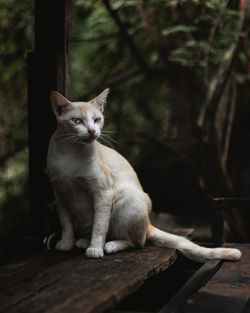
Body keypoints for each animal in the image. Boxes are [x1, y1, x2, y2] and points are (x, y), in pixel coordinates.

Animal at [46, 88, 241, 260]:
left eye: (97, 119)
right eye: (77, 121)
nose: (92, 131)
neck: (70, 153)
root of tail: (148, 223)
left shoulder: (103, 192)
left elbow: (99, 225)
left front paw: (95, 249)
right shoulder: (60, 192)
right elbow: (66, 222)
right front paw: (66, 242)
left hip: (127, 198)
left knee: (137, 242)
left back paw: (110, 245)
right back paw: (83, 241)